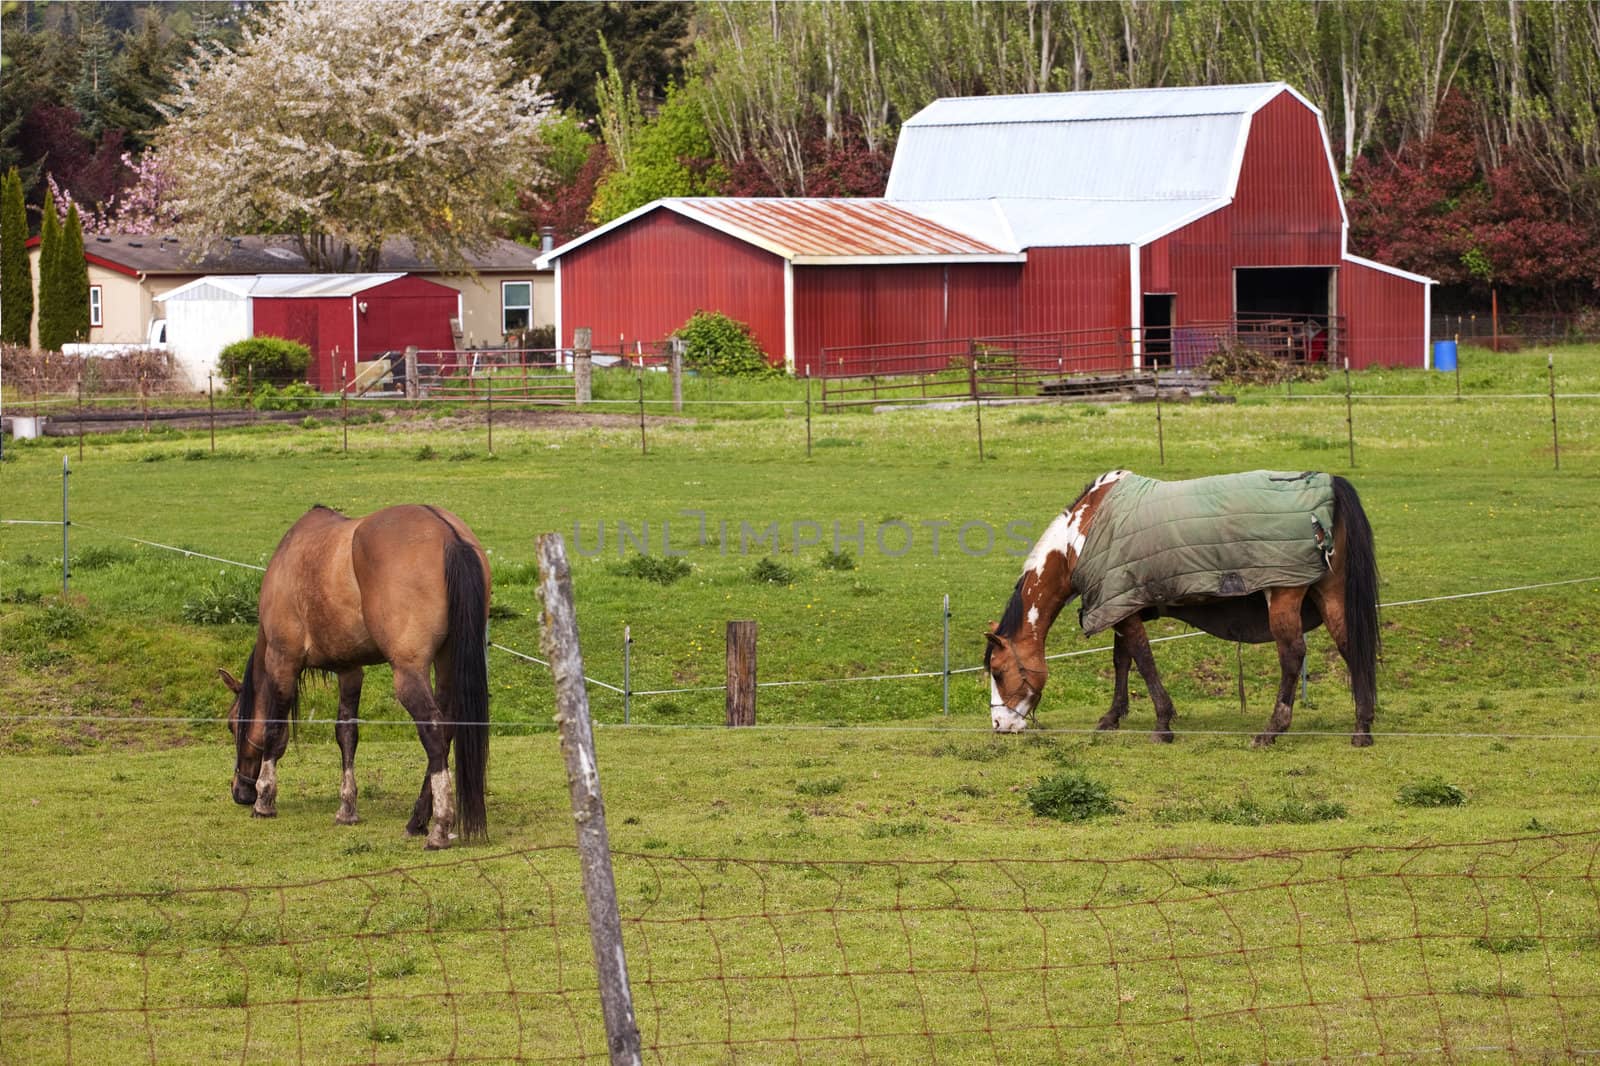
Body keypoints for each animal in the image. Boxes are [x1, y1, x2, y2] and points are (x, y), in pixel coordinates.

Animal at [222, 502, 489, 845]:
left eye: (232, 725)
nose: (239, 791)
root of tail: (447, 533)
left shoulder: (282, 660)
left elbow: (272, 729)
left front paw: (264, 799)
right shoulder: (349, 671)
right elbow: (347, 734)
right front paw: (347, 808)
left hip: (409, 672)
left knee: (433, 731)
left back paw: (440, 827)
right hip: (445, 665)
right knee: (447, 729)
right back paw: (418, 819)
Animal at [979, 470, 1382, 742]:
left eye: (997, 672)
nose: (1000, 724)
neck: (1079, 537)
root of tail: (1330, 485)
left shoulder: (1121, 606)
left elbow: (1142, 660)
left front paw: (1162, 722)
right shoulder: (1120, 605)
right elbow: (1123, 660)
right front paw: (1112, 717)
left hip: (1283, 595)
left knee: (1293, 655)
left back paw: (1273, 728)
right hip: (1329, 595)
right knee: (1350, 645)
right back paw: (1361, 726)